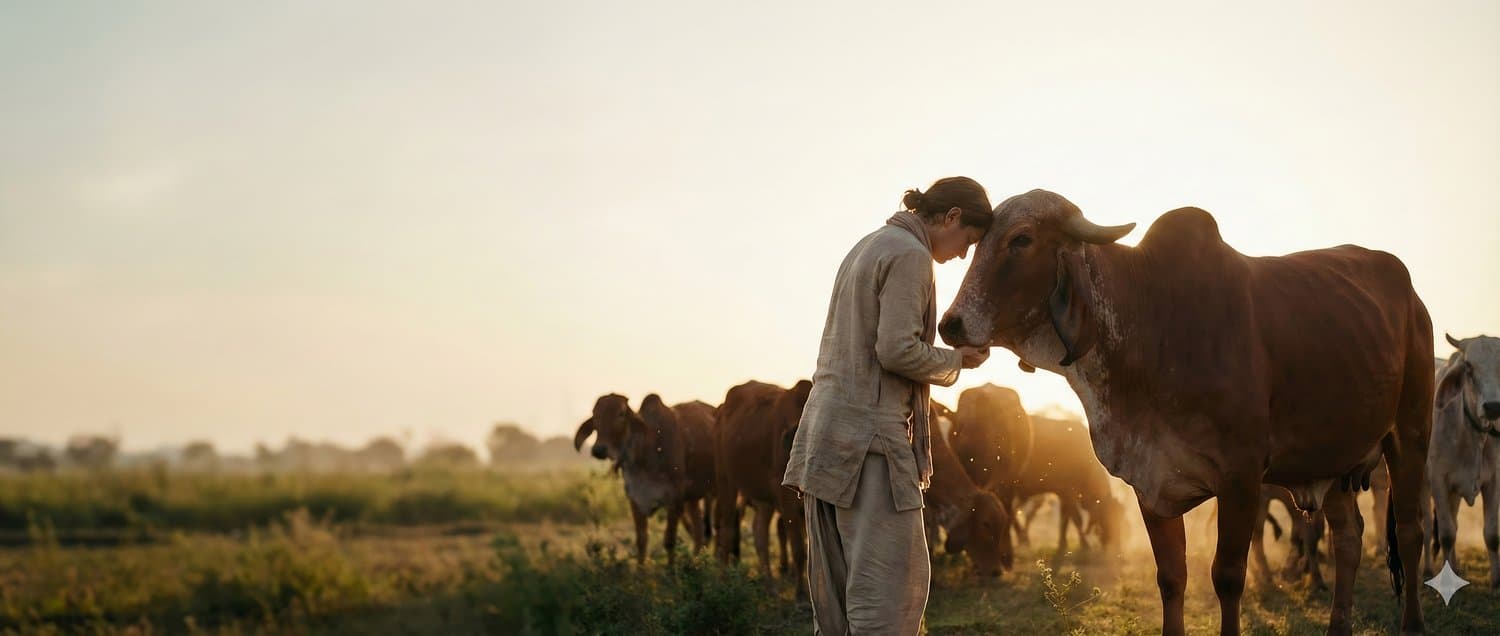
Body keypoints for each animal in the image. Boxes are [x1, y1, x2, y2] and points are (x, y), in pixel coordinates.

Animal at [572, 393, 716, 564]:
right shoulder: (635, 499)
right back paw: (697, 561)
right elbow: (641, 542)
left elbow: (670, 541)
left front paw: (671, 570)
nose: (599, 449)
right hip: (693, 498)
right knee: (699, 531)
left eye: (621, 414)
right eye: (595, 415)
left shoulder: (674, 500)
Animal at [715, 379, 811, 593]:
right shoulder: (787, 502)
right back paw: (723, 580)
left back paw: (769, 584)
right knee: (727, 530)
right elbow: (799, 550)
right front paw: (800, 595)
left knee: (760, 535)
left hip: (763, 499)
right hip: (726, 482)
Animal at [938, 189, 1433, 635]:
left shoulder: (1240, 477)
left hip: (1410, 436)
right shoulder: (1150, 483)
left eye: (1021, 239)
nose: (950, 324)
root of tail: (1412, 295)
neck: (1153, 324)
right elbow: (1172, 578)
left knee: (1411, 533)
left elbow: (1228, 577)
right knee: (1348, 538)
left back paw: (1412, 624)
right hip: (1332, 461)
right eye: (979, 241)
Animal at [1423, 334, 1500, 588]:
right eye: (1468, 366)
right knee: (1427, 527)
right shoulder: (1438, 480)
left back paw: (1454, 566)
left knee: (1454, 522)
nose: (1493, 407)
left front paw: (1496, 580)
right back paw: (1429, 568)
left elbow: (1491, 534)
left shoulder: (1493, 481)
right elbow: (1446, 534)